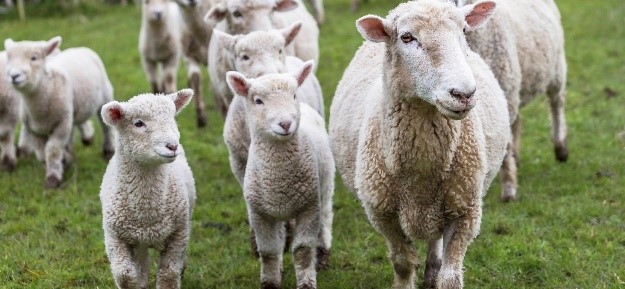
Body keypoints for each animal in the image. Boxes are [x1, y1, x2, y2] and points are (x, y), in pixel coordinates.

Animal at [5, 36, 116, 188]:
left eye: (34, 58)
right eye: (9, 58)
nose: (14, 76)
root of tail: (79, 48)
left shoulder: (62, 124)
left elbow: (52, 150)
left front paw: (53, 179)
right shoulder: (34, 130)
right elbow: (42, 153)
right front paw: (64, 161)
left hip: (105, 95)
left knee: (106, 128)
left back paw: (108, 151)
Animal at [100, 88, 195, 288]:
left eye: (172, 118)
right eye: (138, 123)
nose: (172, 146)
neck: (146, 212)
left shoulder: (178, 234)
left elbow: (168, 274)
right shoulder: (114, 237)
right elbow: (124, 275)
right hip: (138, 241)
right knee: (141, 266)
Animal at [225, 60, 334, 288]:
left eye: (293, 95)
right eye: (258, 101)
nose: (285, 124)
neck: (278, 174)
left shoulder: (309, 207)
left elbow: (302, 250)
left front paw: (306, 283)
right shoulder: (260, 213)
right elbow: (268, 252)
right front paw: (271, 281)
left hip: (325, 184)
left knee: (326, 217)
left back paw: (322, 254)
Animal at [330, 1, 510, 286]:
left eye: (463, 30)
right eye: (407, 37)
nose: (464, 94)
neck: (421, 174)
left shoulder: (465, 211)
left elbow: (451, 277)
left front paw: (439, 274)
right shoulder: (383, 214)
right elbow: (402, 263)